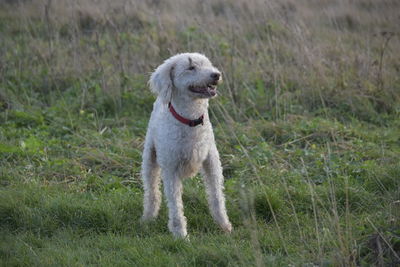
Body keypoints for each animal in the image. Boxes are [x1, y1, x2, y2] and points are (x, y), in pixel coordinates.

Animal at [142, 52, 233, 239]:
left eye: (208, 64)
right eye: (191, 67)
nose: (216, 75)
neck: (191, 119)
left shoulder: (212, 162)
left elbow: (217, 197)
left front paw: (224, 225)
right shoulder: (170, 170)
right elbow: (176, 206)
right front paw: (180, 235)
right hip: (149, 157)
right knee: (151, 191)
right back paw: (148, 217)